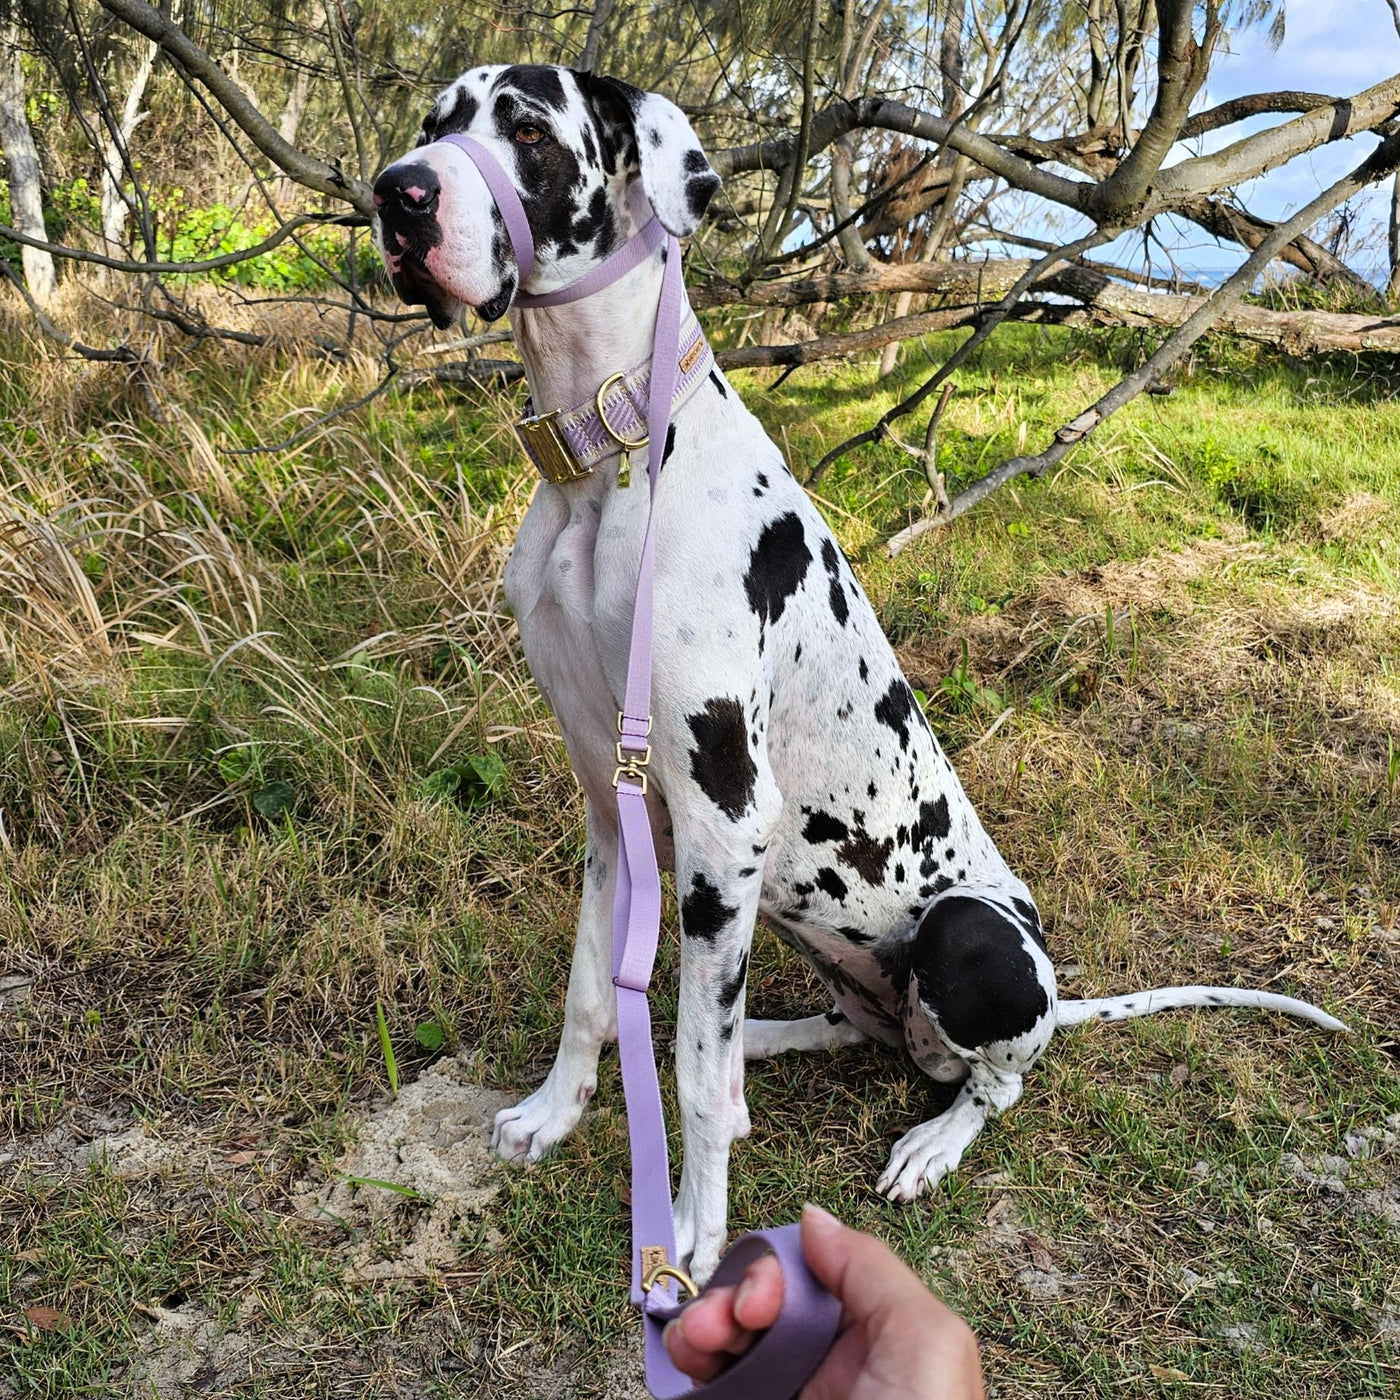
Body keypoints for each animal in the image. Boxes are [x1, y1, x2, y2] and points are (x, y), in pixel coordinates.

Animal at [369, 68, 1344, 1288]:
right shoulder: (610, 803)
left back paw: (928, 1137)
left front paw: (692, 1236)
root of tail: (1058, 996)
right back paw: (768, 1043)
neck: (612, 450)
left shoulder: (724, 815)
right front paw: (554, 1111)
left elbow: (687, 1077)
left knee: (989, 1077)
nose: (394, 195)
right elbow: (594, 986)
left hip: (963, 934)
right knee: (815, 1025)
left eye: (531, 130)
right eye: (433, 123)